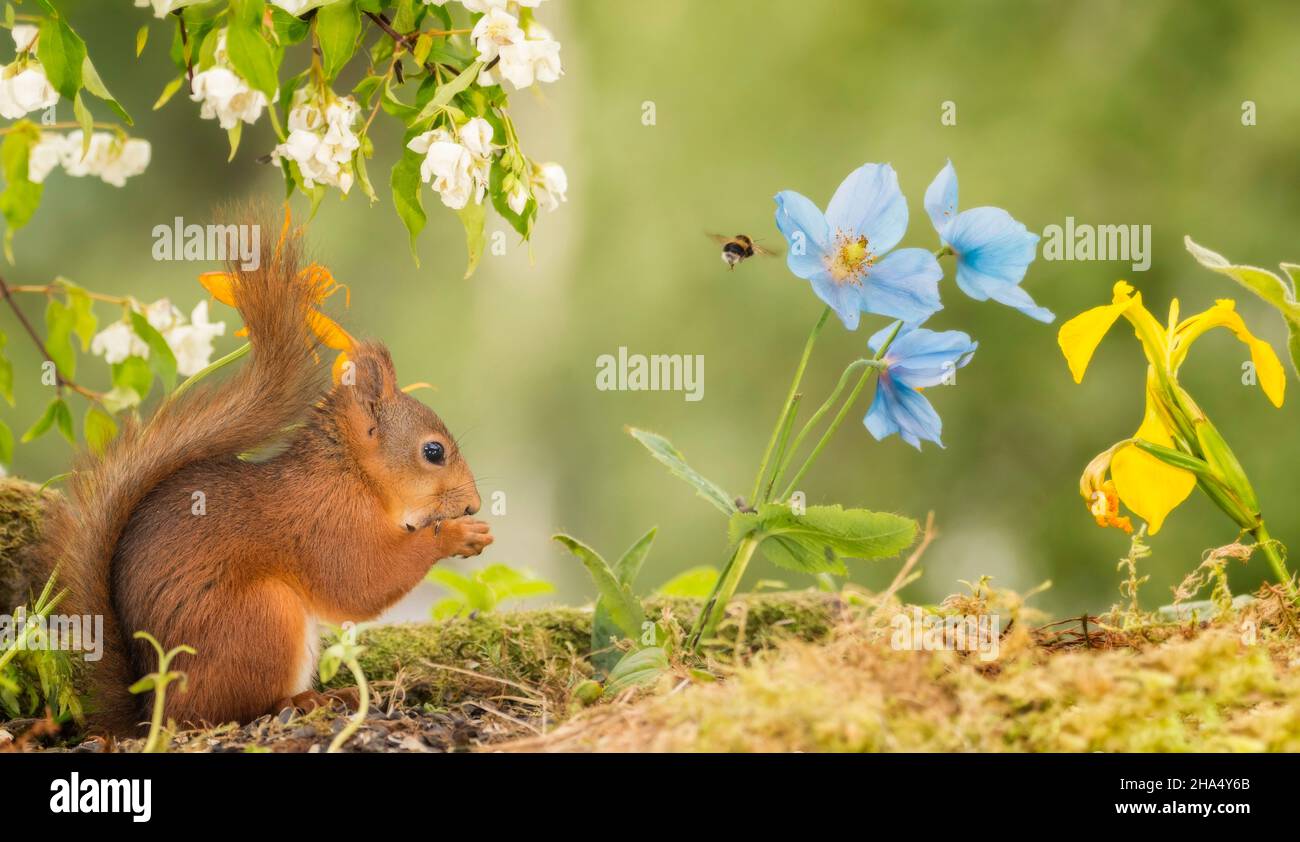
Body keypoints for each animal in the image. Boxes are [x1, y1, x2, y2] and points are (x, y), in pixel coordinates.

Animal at [41, 227, 488, 732]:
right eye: (434, 452)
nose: (473, 504)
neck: (350, 473)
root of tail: (152, 707)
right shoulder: (324, 521)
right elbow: (361, 580)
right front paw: (458, 535)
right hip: (262, 616)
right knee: (230, 709)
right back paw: (305, 700)